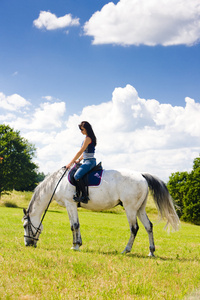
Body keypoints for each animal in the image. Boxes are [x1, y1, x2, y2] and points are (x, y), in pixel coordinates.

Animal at [22, 166, 179, 255]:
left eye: (25, 226)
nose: (27, 244)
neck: (57, 182)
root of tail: (141, 175)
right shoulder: (72, 205)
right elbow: (76, 225)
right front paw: (78, 243)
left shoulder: (70, 204)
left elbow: (74, 225)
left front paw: (75, 246)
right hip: (139, 208)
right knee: (148, 227)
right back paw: (151, 252)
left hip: (130, 208)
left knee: (134, 228)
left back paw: (126, 250)